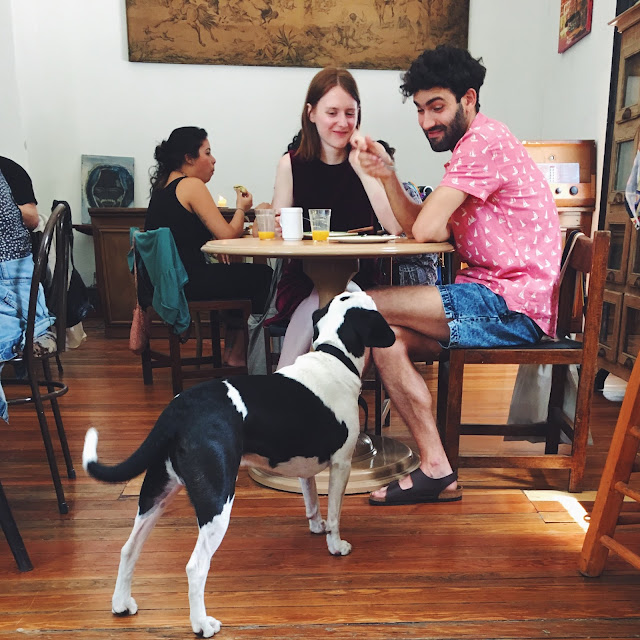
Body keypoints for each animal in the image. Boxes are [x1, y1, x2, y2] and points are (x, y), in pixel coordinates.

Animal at [82, 292, 396, 636]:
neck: (334, 355)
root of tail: (178, 408)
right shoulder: (342, 465)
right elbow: (336, 514)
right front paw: (335, 545)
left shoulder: (303, 468)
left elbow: (312, 502)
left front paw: (317, 527)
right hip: (217, 502)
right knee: (195, 566)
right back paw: (201, 623)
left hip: (155, 496)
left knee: (129, 548)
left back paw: (121, 603)